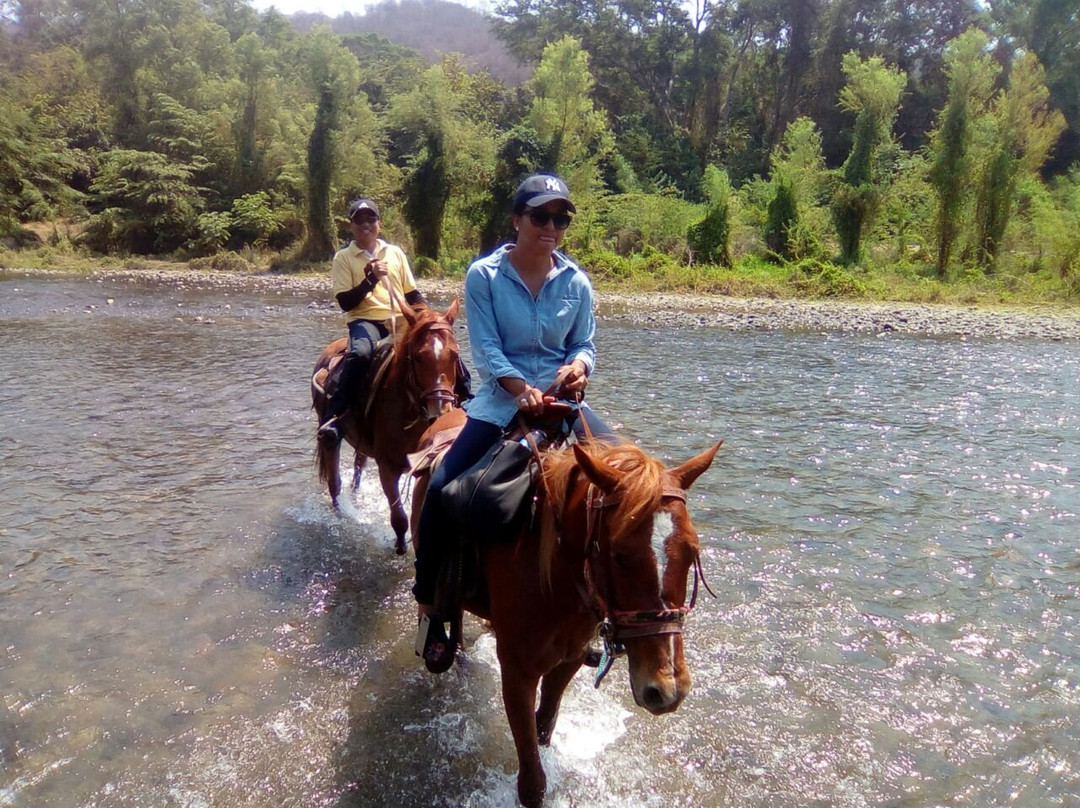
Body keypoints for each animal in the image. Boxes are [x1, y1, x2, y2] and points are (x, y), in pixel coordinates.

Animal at [315, 295, 462, 557]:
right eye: (418, 357)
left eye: (454, 356)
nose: (440, 412)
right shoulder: (387, 467)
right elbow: (400, 518)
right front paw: (400, 547)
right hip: (329, 434)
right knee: (334, 479)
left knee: (358, 466)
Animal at [408, 416, 721, 808]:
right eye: (619, 554)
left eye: (693, 550)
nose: (667, 689)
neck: (553, 577)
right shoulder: (517, 673)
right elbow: (532, 781)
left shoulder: (568, 660)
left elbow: (544, 726)